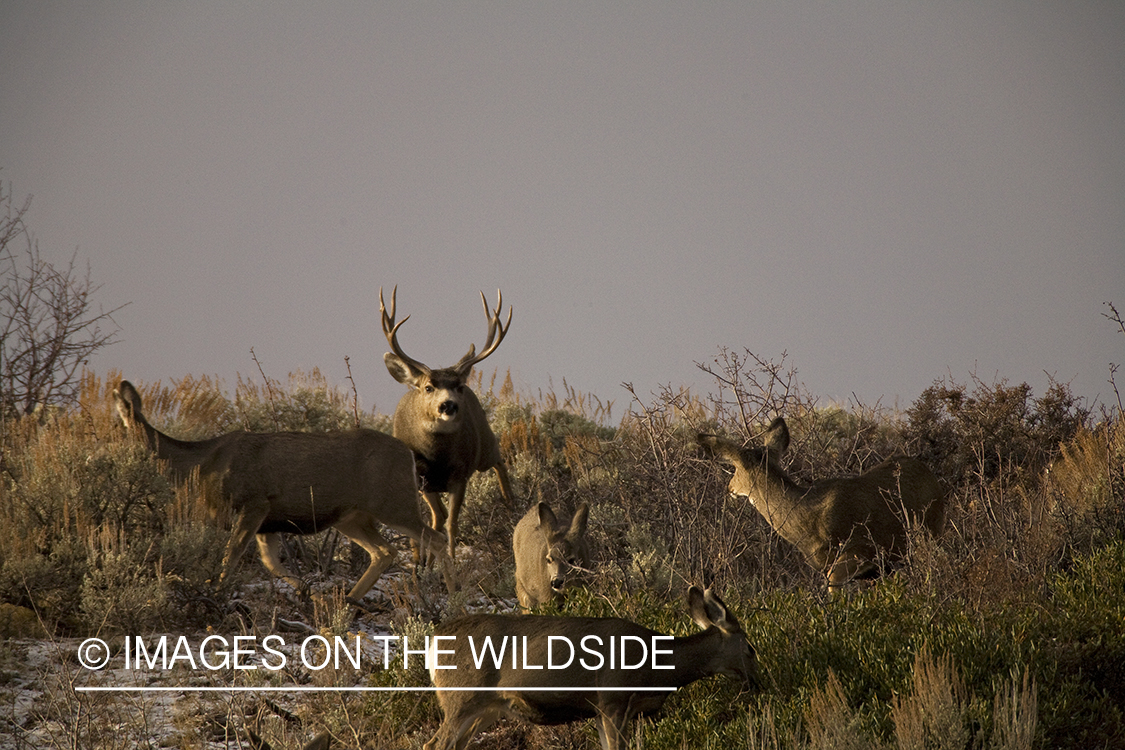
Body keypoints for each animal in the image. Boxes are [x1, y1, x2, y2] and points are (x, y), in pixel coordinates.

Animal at [113, 379, 448, 602]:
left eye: (116, 429)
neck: (199, 465)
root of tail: (409, 454)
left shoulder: (255, 502)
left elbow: (232, 553)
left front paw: (216, 592)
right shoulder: (268, 523)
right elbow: (269, 562)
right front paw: (307, 591)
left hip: (393, 502)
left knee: (436, 538)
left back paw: (452, 592)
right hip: (352, 516)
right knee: (384, 551)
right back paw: (349, 600)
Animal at [380, 286, 514, 558]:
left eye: (459, 386)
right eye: (428, 387)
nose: (448, 405)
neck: (437, 456)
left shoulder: (459, 475)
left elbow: (452, 523)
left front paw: (452, 560)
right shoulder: (421, 480)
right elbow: (432, 522)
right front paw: (422, 562)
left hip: (484, 447)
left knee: (499, 462)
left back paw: (511, 507)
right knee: (437, 518)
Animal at [423, 586, 756, 750]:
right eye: (751, 650)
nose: (757, 682)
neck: (656, 669)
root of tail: (433, 641)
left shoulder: (599, 709)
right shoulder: (612, 699)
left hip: (487, 708)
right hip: (461, 698)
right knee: (435, 744)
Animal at [698, 417, 947, 591]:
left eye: (735, 468)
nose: (729, 488)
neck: (806, 519)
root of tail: (930, 474)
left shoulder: (863, 549)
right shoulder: (873, 570)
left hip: (930, 530)